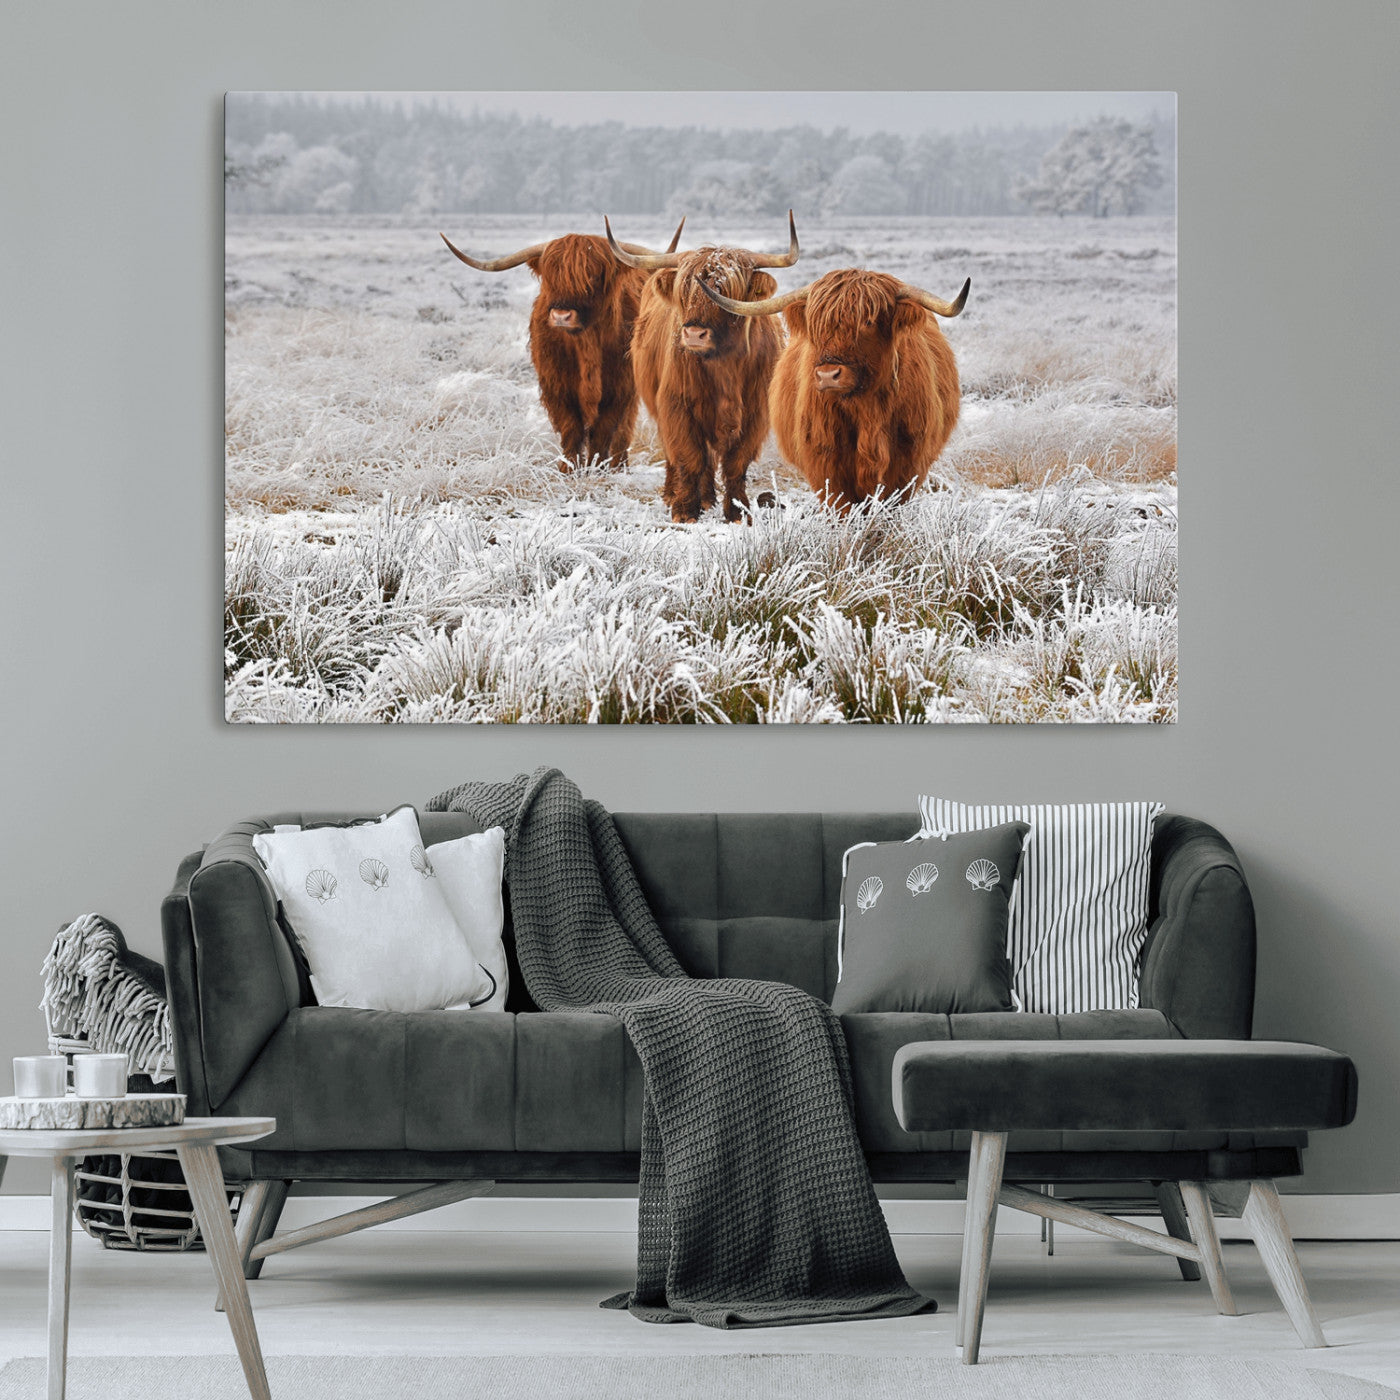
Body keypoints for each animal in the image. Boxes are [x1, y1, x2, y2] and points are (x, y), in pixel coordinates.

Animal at [439, 220, 684, 472]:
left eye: (592, 276)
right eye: (550, 278)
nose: (561, 315)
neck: (586, 345)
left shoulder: (620, 386)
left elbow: (604, 430)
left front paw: (597, 467)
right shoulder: (556, 385)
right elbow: (571, 428)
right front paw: (568, 469)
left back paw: (619, 465)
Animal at [605, 213, 800, 523]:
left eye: (725, 291)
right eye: (684, 291)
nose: (694, 334)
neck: (724, 367)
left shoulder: (755, 414)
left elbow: (735, 463)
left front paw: (738, 511)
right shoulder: (677, 406)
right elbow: (689, 457)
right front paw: (684, 510)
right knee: (679, 455)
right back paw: (676, 494)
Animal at [701, 268, 970, 508]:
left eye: (868, 321)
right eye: (816, 324)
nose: (828, 375)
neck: (867, 411)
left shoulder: (908, 464)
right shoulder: (826, 464)